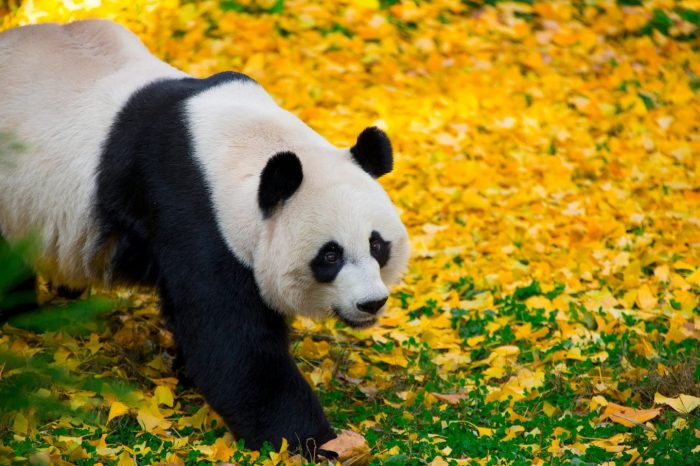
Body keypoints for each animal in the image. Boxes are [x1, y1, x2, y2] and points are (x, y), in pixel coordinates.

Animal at [0, 20, 409, 457]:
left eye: (377, 245)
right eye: (330, 256)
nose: (371, 303)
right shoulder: (192, 214)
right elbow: (233, 348)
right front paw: (315, 441)